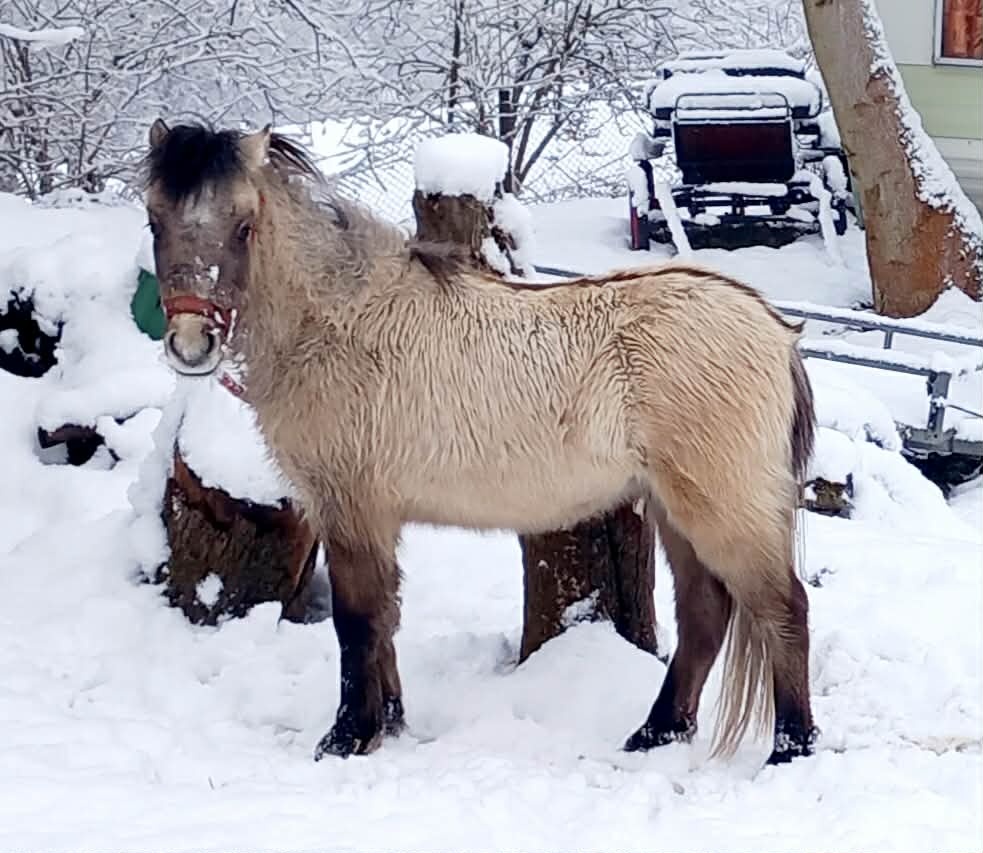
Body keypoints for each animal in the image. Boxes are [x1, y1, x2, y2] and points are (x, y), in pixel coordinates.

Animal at [143, 119, 818, 766]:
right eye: (154, 219)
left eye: (244, 225)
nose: (191, 343)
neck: (343, 323)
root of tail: (773, 328)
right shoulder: (370, 517)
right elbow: (384, 619)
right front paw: (389, 721)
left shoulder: (351, 510)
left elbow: (358, 622)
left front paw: (347, 736)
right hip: (674, 510)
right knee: (706, 614)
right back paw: (656, 732)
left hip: (723, 509)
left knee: (783, 609)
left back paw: (790, 747)